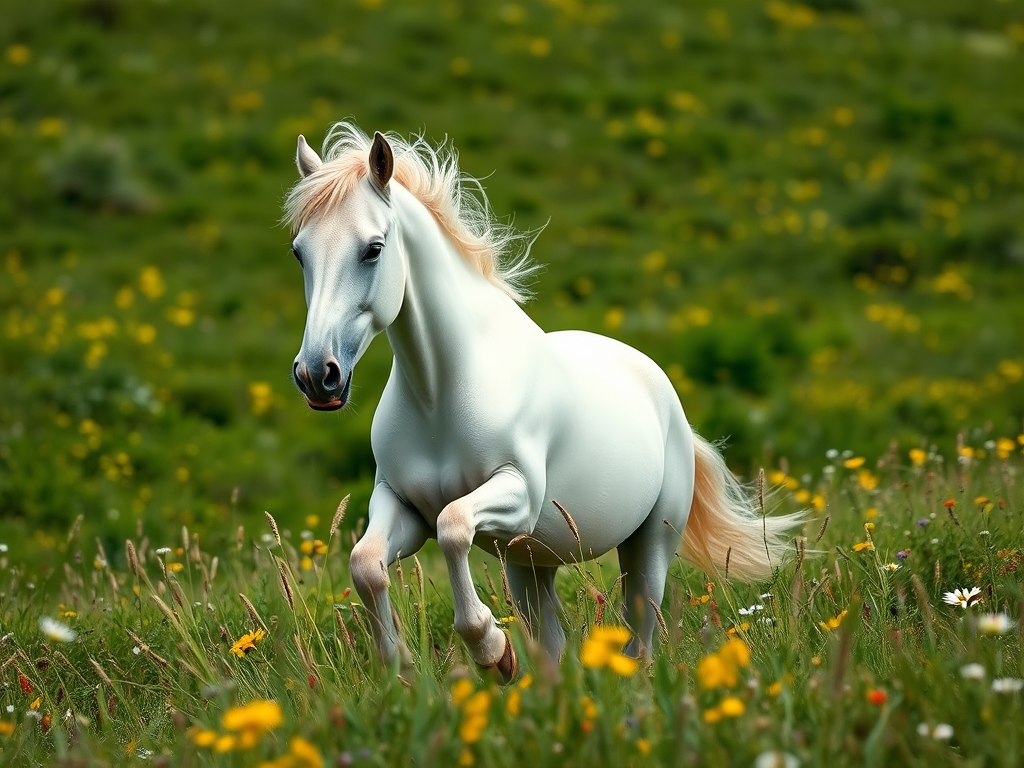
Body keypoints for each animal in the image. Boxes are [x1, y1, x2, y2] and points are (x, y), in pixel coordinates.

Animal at [284, 122, 804, 681]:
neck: (441, 392)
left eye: (373, 249)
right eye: (299, 252)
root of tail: (663, 392)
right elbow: (366, 563)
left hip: (648, 546)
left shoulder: (519, 496)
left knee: (641, 633)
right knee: (551, 644)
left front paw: (490, 647)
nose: (317, 375)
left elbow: (453, 528)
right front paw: (399, 664)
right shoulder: (402, 504)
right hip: (528, 564)